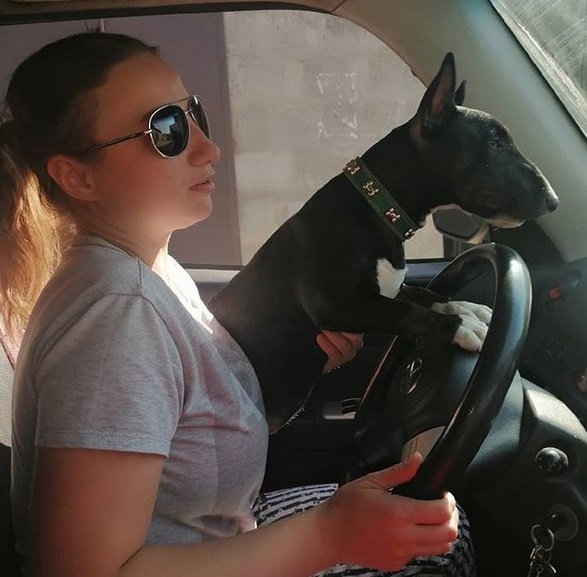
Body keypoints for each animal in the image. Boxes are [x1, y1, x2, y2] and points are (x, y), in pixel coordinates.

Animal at [209, 55, 560, 432]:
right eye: (495, 144)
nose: (553, 200)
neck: (376, 207)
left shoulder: (387, 289)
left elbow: (424, 295)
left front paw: (469, 309)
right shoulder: (338, 306)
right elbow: (407, 312)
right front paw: (461, 326)